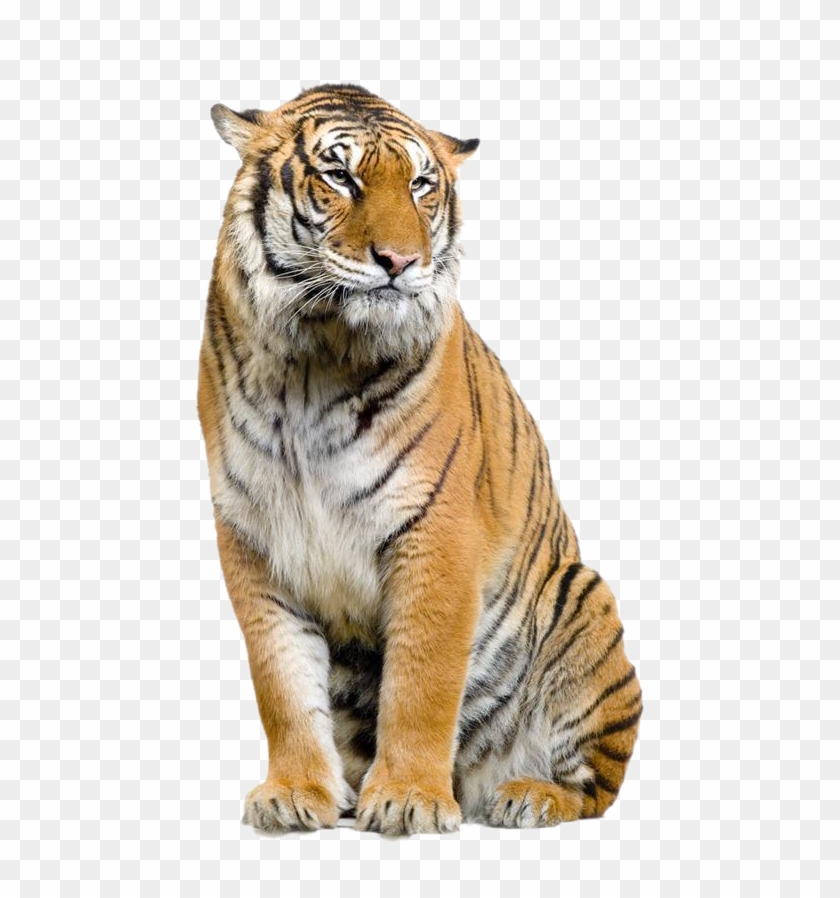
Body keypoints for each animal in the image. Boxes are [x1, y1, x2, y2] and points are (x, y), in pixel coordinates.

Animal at [198, 83, 641, 835]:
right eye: (340, 176)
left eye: (420, 184)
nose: (400, 262)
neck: (313, 360)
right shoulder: (253, 538)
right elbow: (281, 683)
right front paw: (294, 793)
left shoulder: (434, 531)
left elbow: (421, 680)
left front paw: (407, 798)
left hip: (583, 597)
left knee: (597, 786)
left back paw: (528, 796)